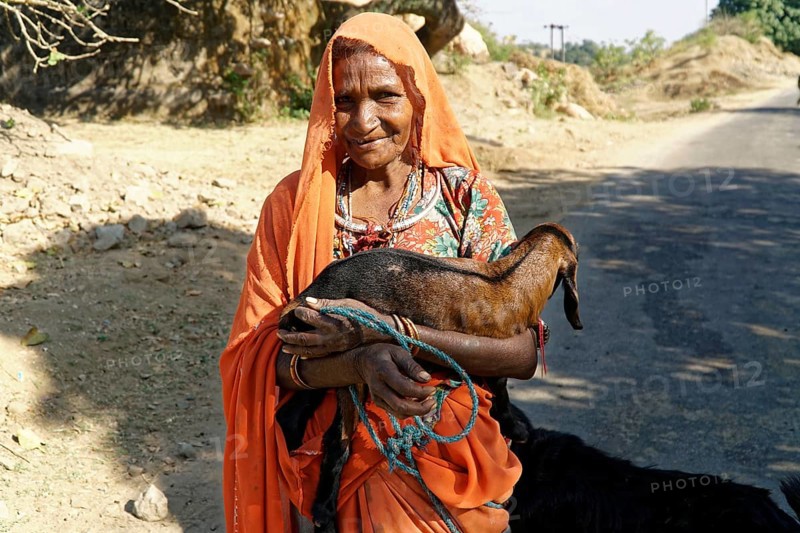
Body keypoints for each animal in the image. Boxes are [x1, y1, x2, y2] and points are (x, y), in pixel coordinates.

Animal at [276, 222, 582, 532]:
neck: (509, 275)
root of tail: (310, 294)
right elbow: (501, 391)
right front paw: (515, 428)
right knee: (338, 438)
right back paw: (324, 513)